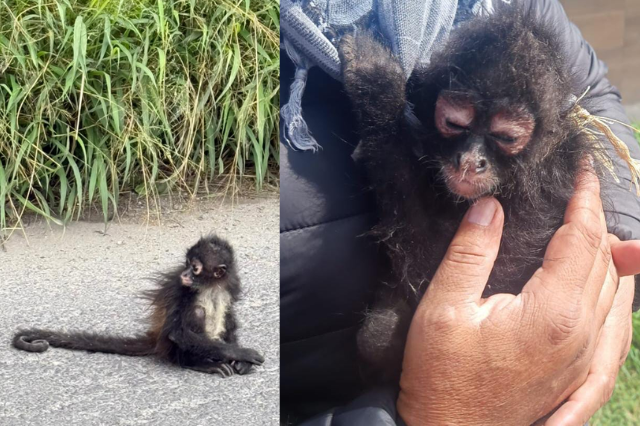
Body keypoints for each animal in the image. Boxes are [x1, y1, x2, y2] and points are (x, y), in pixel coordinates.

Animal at [12, 234, 264, 377]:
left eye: (195, 268)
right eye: (186, 264)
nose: (184, 273)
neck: (210, 285)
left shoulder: (231, 284)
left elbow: (230, 315)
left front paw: (240, 361)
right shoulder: (180, 287)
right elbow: (178, 333)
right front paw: (242, 354)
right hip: (171, 347)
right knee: (197, 314)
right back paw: (197, 362)